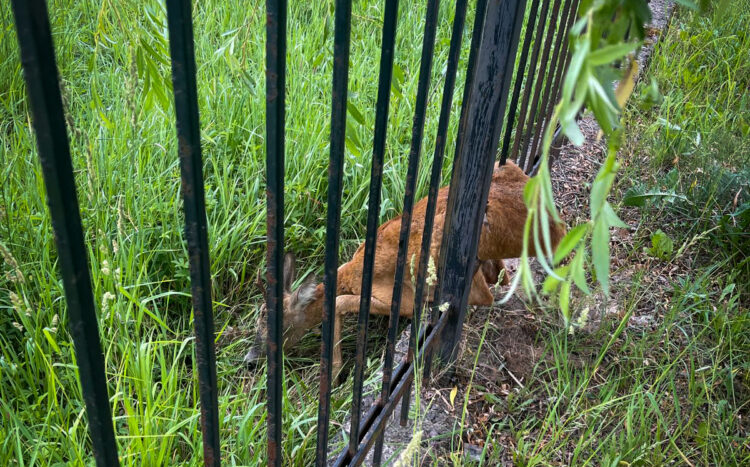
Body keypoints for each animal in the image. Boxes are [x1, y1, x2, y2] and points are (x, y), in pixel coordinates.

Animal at [244, 160, 568, 376]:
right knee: (500, 278)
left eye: (272, 322)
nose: (250, 358)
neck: (351, 272)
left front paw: (334, 376)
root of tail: (556, 227)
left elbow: (339, 303)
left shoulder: (397, 301)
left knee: (485, 294)